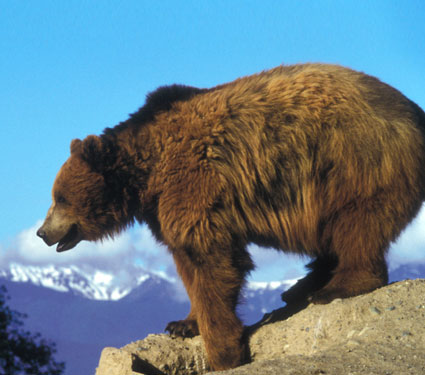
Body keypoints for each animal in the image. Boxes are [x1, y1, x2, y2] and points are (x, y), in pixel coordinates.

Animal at [35, 63, 424, 372]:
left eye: (59, 198)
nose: (41, 232)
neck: (147, 174)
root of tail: (414, 112)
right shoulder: (166, 208)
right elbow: (188, 265)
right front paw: (183, 324)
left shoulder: (194, 183)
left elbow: (213, 261)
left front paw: (224, 353)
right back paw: (300, 287)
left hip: (354, 160)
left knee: (356, 222)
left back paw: (335, 287)